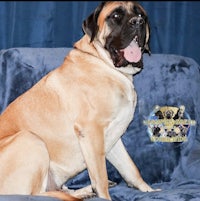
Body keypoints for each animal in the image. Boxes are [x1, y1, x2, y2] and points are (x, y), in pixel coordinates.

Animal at [0, 1, 155, 201]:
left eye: (141, 15)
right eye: (115, 16)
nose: (137, 22)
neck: (105, 63)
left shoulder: (112, 137)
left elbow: (130, 168)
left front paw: (149, 191)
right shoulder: (91, 131)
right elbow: (100, 177)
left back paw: (84, 191)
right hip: (30, 139)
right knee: (36, 194)